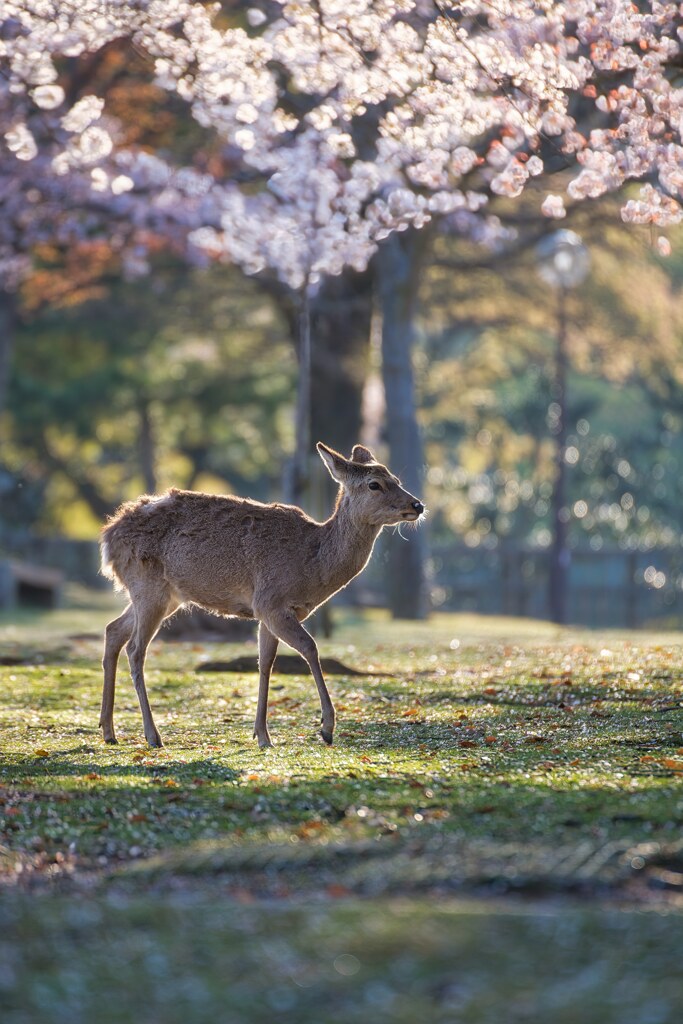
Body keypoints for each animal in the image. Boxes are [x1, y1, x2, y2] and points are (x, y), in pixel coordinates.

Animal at [98, 444, 423, 749]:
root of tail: (107, 538)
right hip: (148, 586)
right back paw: (153, 735)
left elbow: (265, 662)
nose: (417, 504)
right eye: (374, 484)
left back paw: (109, 731)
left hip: (163, 596)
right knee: (135, 649)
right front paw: (326, 728)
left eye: (396, 479)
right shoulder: (270, 602)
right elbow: (310, 647)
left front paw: (262, 735)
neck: (313, 566)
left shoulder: (268, 612)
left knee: (113, 630)